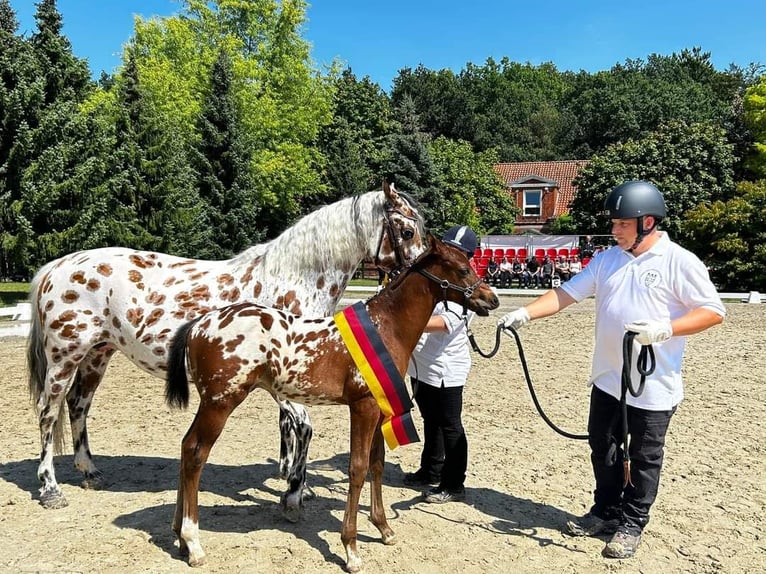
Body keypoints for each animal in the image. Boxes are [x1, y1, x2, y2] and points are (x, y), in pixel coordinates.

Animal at [27, 181, 428, 512]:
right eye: (407, 231)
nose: (427, 276)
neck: (293, 278)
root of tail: (57, 266)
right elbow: (302, 427)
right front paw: (294, 489)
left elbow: (291, 429)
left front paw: (297, 483)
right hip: (64, 356)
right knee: (49, 412)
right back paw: (50, 489)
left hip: (98, 354)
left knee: (78, 406)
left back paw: (89, 471)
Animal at [165, 233, 500, 572]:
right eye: (462, 269)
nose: (491, 299)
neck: (386, 326)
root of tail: (198, 325)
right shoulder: (363, 407)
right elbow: (358, 467)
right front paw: (351, 549)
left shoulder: (380, 407)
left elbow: (377, 464)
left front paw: (384, 528)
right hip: (220, 403)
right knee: (195, 454)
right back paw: (193, 543)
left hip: (211, 404)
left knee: (185, 446)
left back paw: (179, 536)